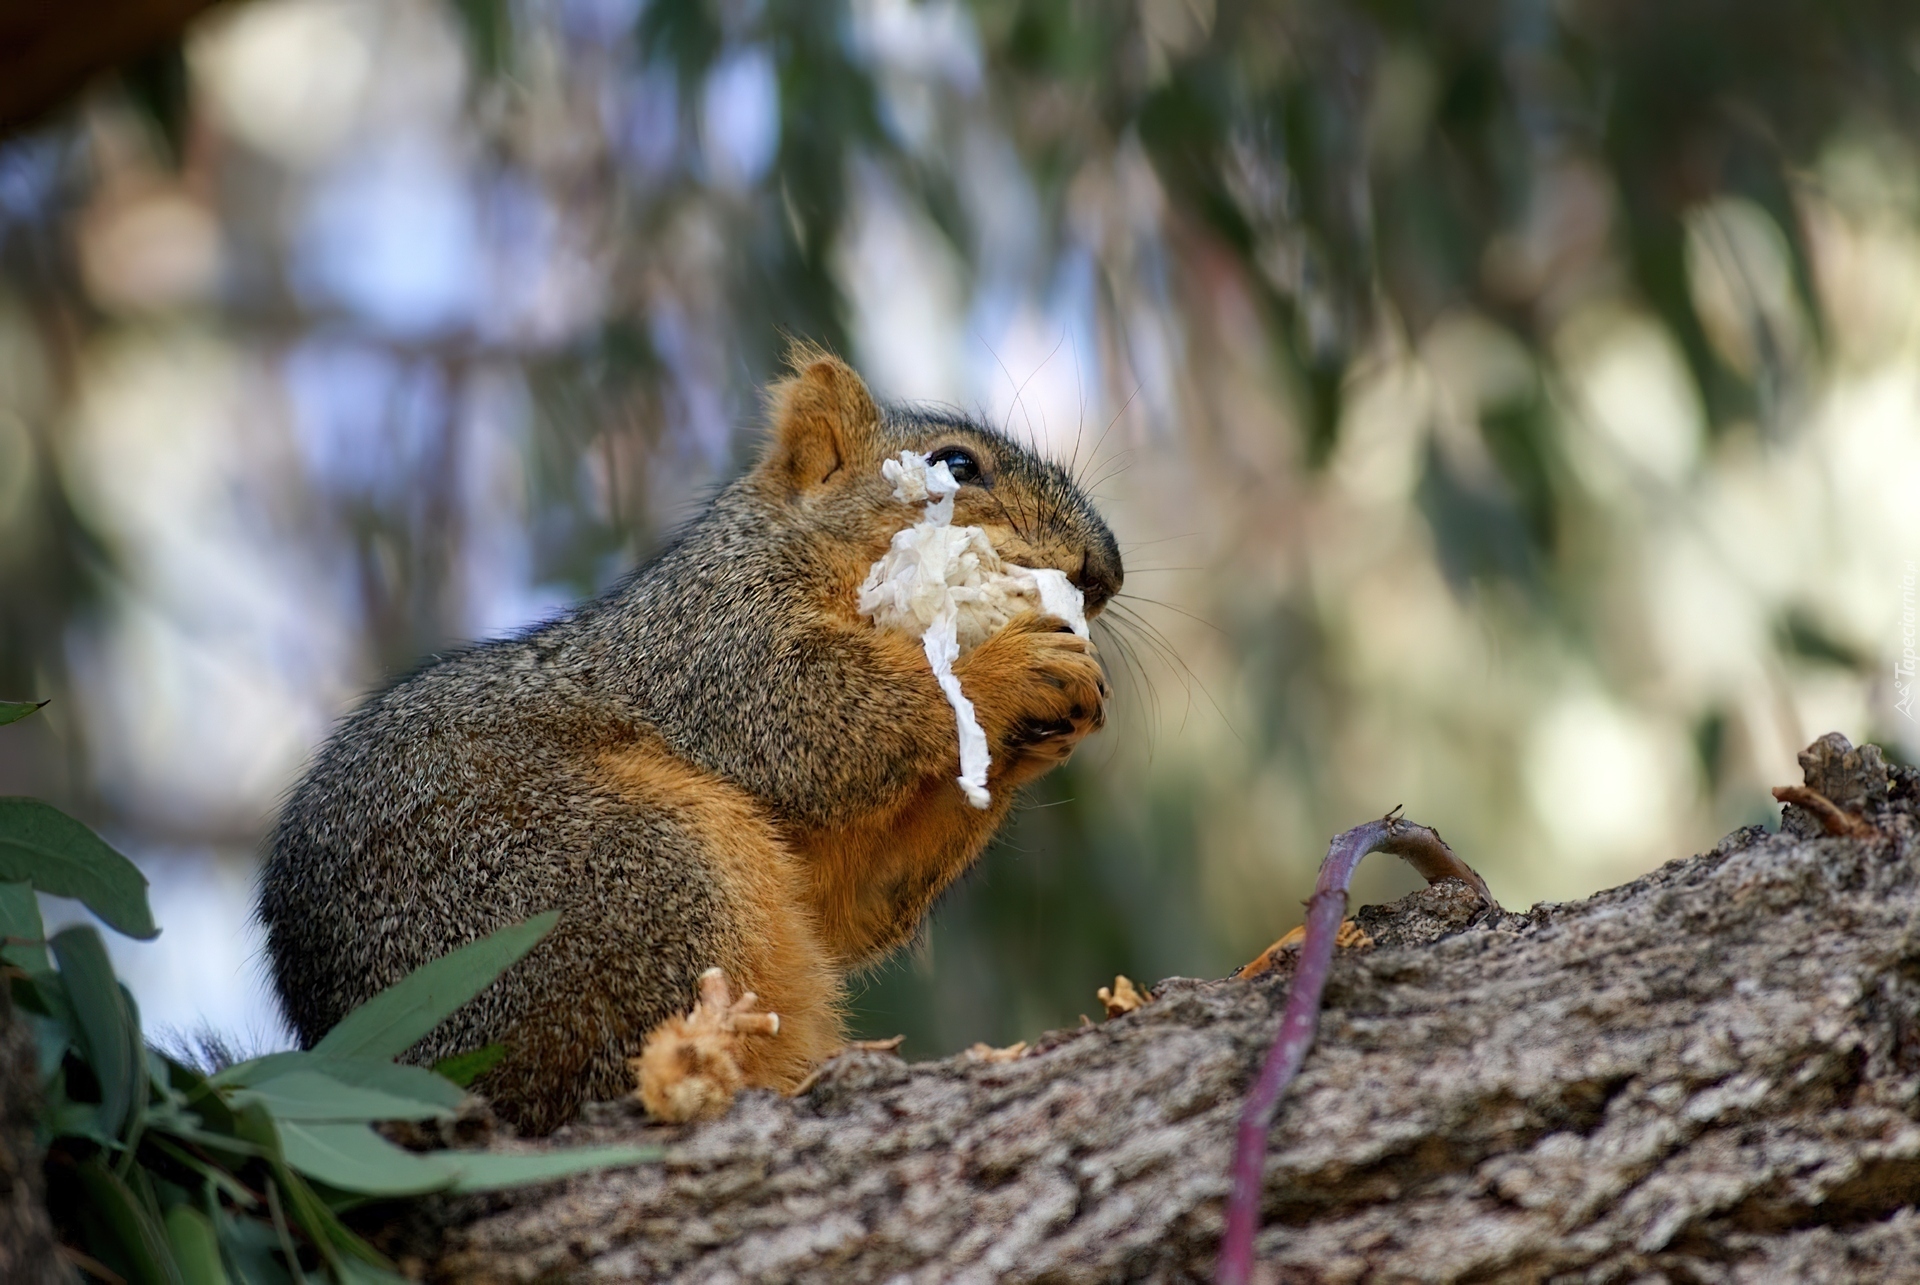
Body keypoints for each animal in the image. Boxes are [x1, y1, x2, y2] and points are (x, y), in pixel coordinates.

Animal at [257, 351, 1121, 1129]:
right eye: (955, 464)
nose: (1104, 571)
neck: (795, 550)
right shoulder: (715, 645)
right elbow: (815, 712)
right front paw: (1013, 668)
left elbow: (849, 895)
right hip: (619, 880)